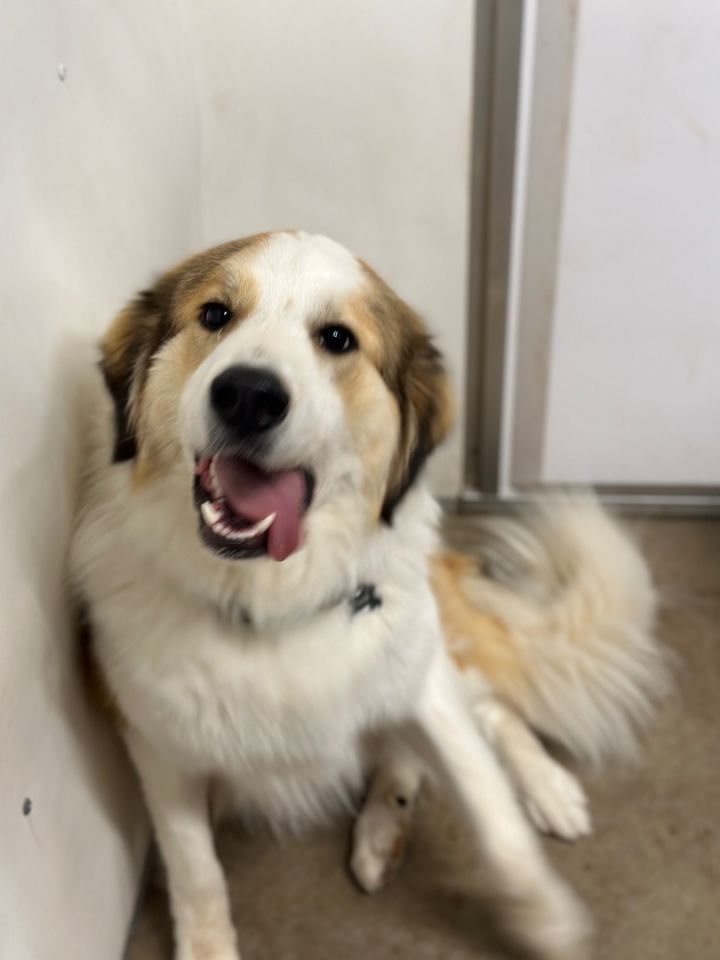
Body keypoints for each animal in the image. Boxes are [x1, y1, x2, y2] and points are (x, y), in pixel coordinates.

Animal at [71, 231, 664, 960]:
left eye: (337, 338)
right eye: (214, 316)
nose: (247, 395)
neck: (269, 603)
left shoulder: (423, 684)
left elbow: (492, 811)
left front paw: (544, 914)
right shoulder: (157, 744)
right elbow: (195, 867)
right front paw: (208, 947)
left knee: (489, 711)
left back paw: (542, 789)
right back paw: (385, 829)